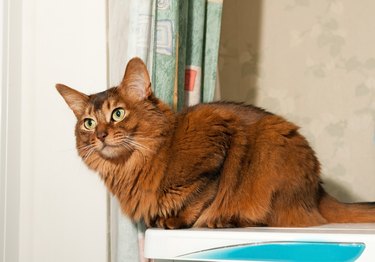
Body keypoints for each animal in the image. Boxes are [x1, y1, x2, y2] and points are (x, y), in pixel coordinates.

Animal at [55, 57, 375, 229]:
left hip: (271, 150)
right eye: (88, 123)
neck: (134, 165)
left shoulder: (219, 145)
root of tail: (318, 190)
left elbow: (201, 197)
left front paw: (177, 219)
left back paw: (228, 219)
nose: (100, 135)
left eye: (118, 113)